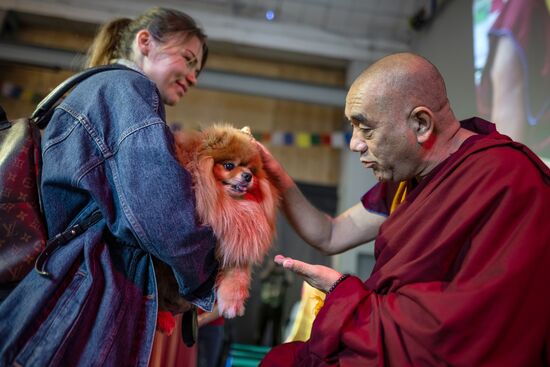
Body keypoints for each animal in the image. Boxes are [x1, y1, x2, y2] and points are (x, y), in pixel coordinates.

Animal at [155, 123, 280, 330]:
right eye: (229, 165)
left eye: (251, 170)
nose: (248, 176)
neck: (225, 203)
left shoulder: (233, 241)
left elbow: (238, 272)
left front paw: (231, 303)